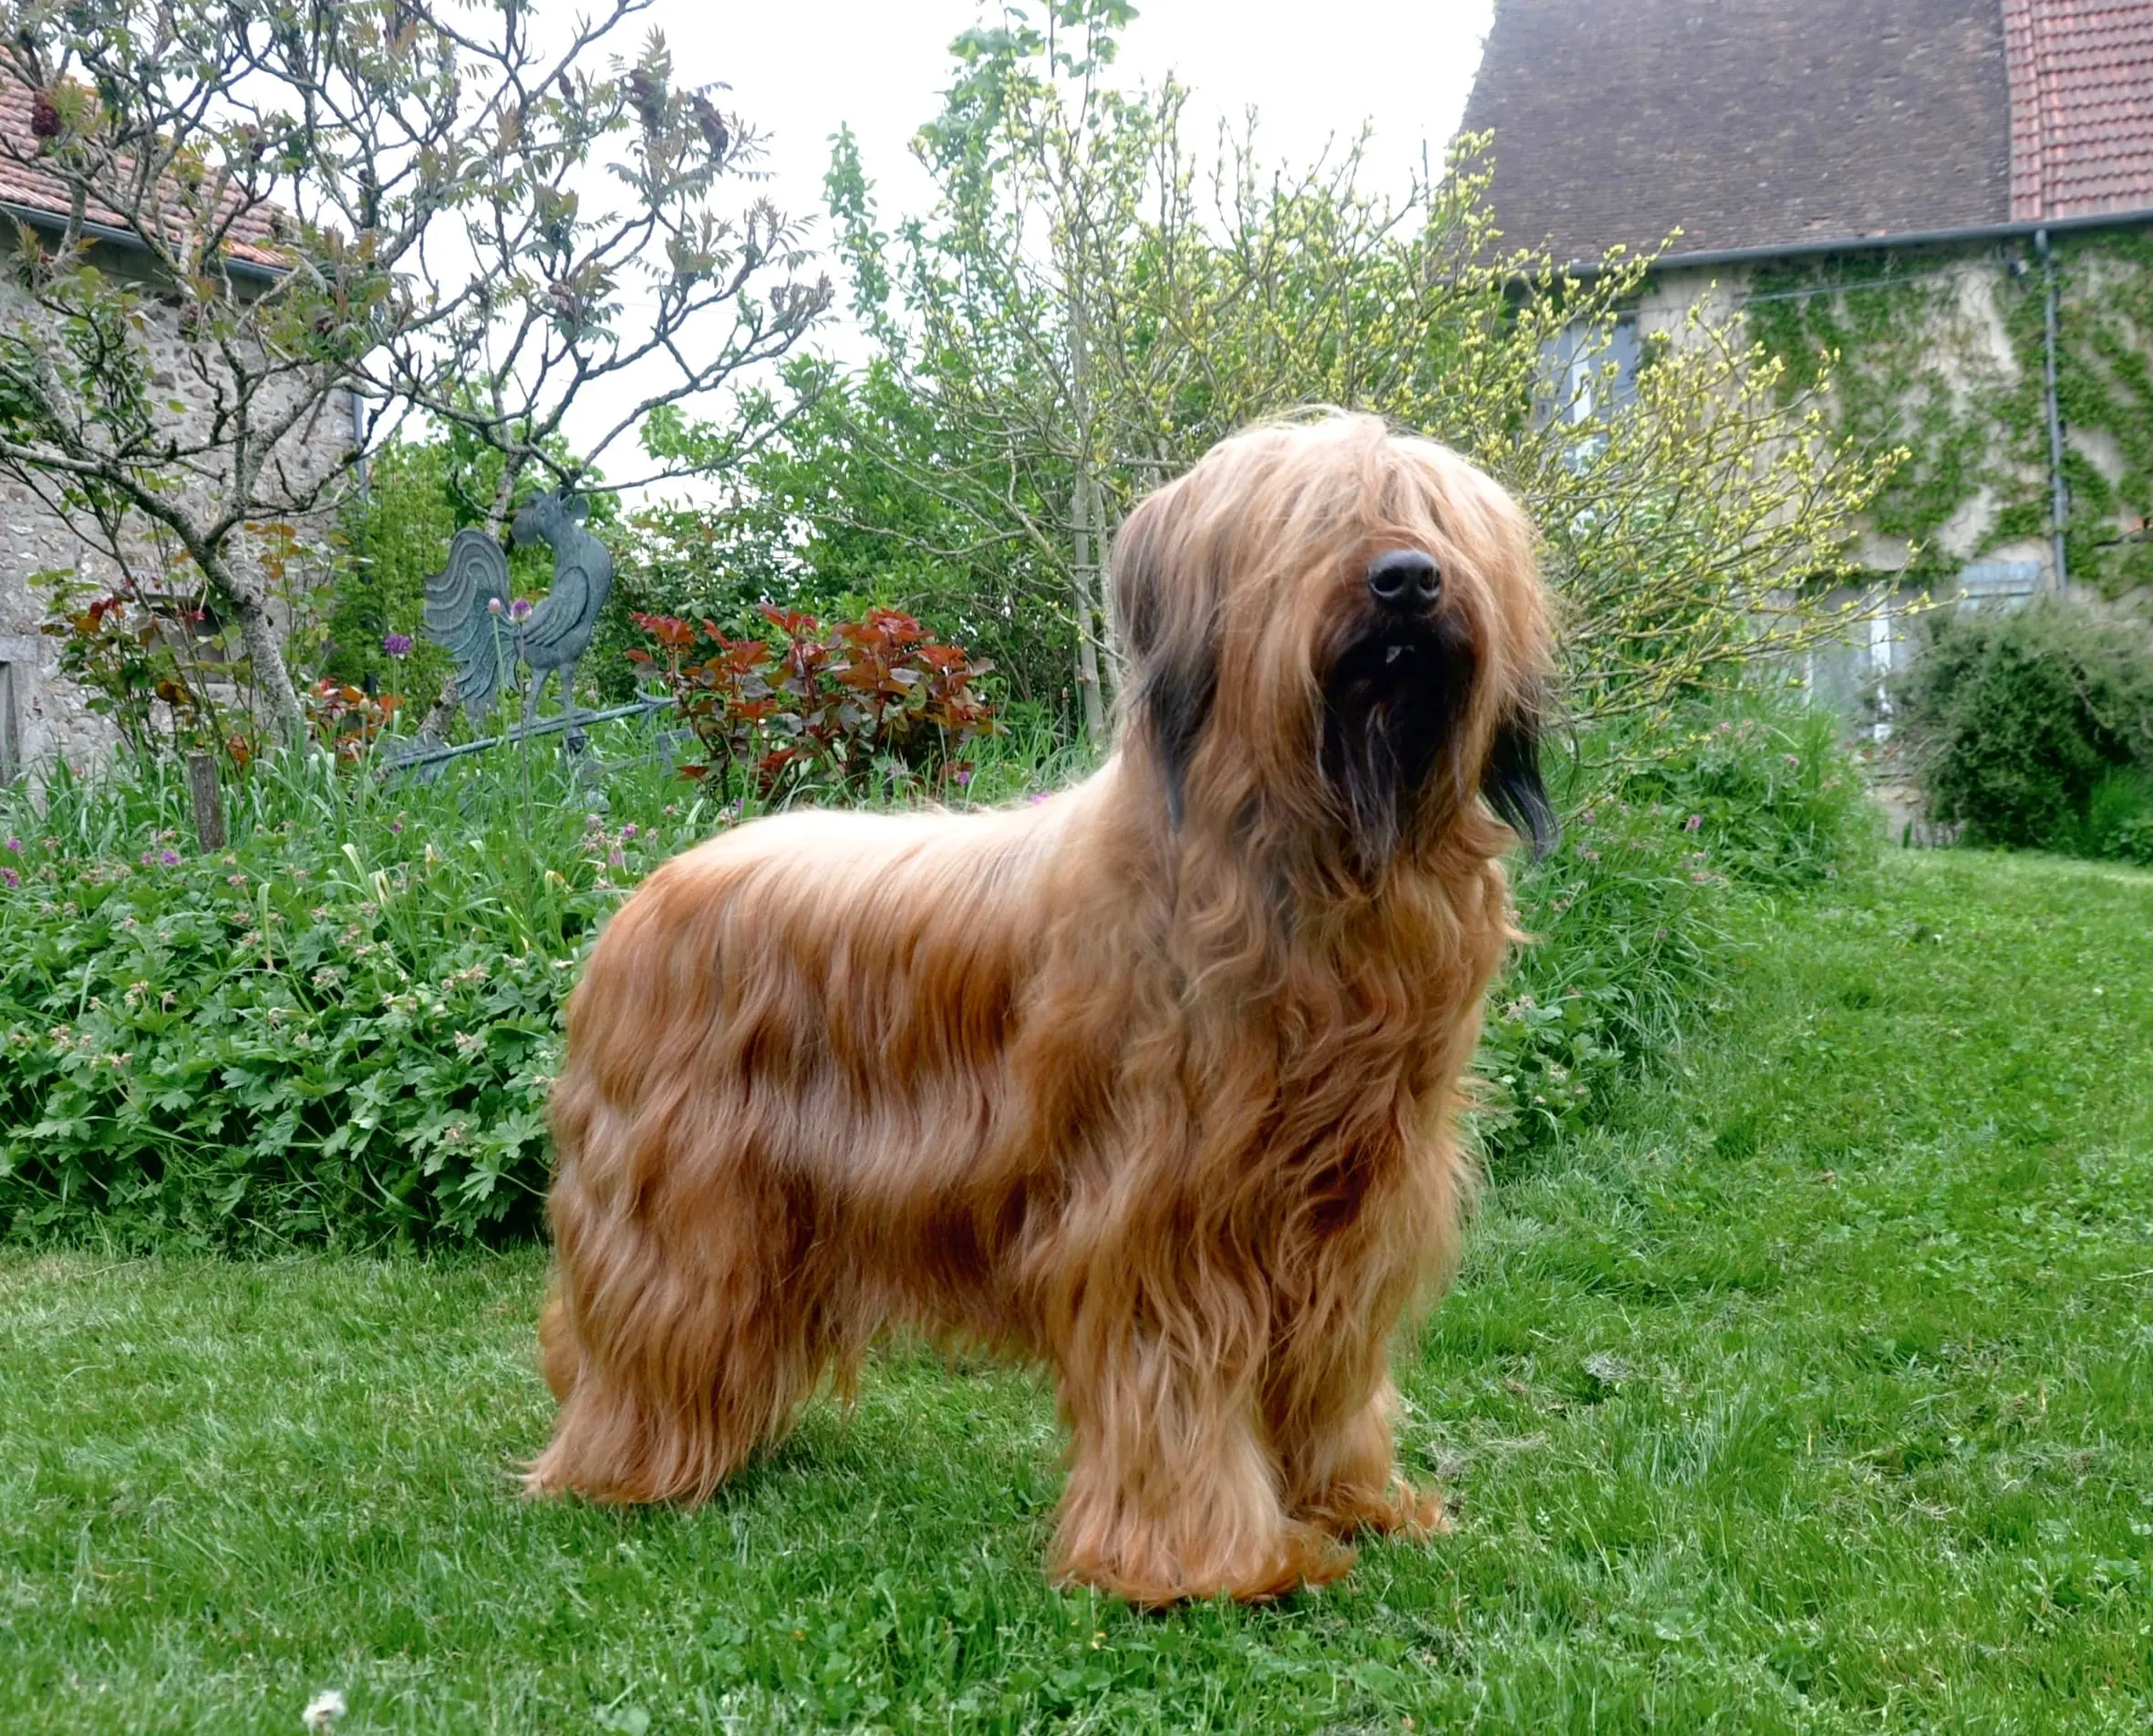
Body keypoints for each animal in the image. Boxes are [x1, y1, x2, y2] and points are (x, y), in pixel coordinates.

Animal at [529, 415, 1558, 1610]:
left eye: (1436, 517)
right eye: (1312, 520)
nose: (1407, 579)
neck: (1321, 861)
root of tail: (641, 893)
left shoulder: (1355, 1209)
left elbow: (1330, 1376)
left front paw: (1356, 1502)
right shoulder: (1161, 1211)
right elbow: (1173, 1385)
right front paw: (1210, 1563)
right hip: (682, 1201)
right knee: (653, 1329)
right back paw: (633, 1464)